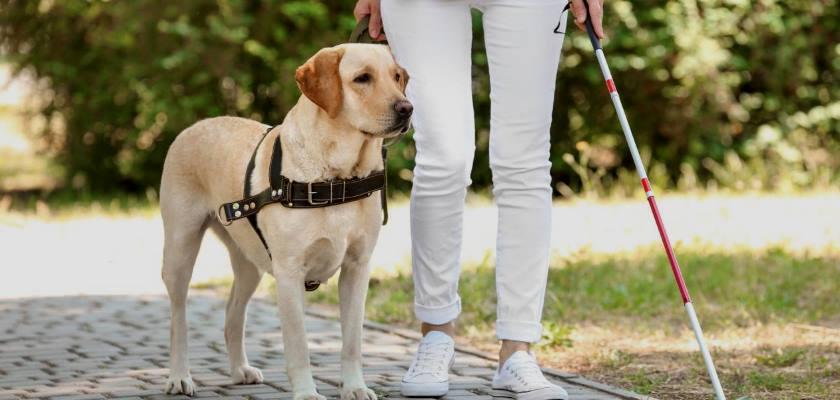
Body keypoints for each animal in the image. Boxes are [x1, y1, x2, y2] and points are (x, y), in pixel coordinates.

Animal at [159, 43, 412, 400]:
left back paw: (239, 369)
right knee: (177, 318)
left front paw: (355, 387)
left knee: (232, 313)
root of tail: (193, 126)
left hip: (250, 263)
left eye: (397, 77)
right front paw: (306, 392)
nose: (407, 108)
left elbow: (352, 342)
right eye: (362, 78)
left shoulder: (357, 268)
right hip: (180, 250)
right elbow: (298, 345)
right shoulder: (290, 273)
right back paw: (180, 376)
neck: (337, 177)